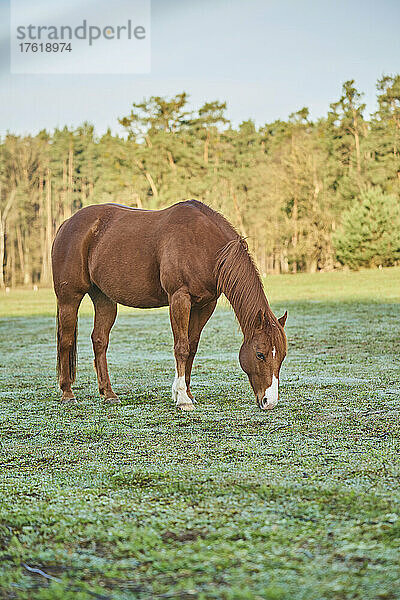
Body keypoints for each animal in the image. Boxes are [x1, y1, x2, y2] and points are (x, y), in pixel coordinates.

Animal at [51, 199, 286, 410]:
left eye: (282, 356)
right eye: (260, 354)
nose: (269, 402)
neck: (203, 244)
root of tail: (67, 223)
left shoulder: (204, 305)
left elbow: (192, 347)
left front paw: (188, 393)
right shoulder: (179, 298)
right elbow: (181, 348)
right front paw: (182, 398)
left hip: (104, 299)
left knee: (100, 341)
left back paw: (108, 394)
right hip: (69, 298)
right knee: (66, 341)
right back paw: (67, 393)